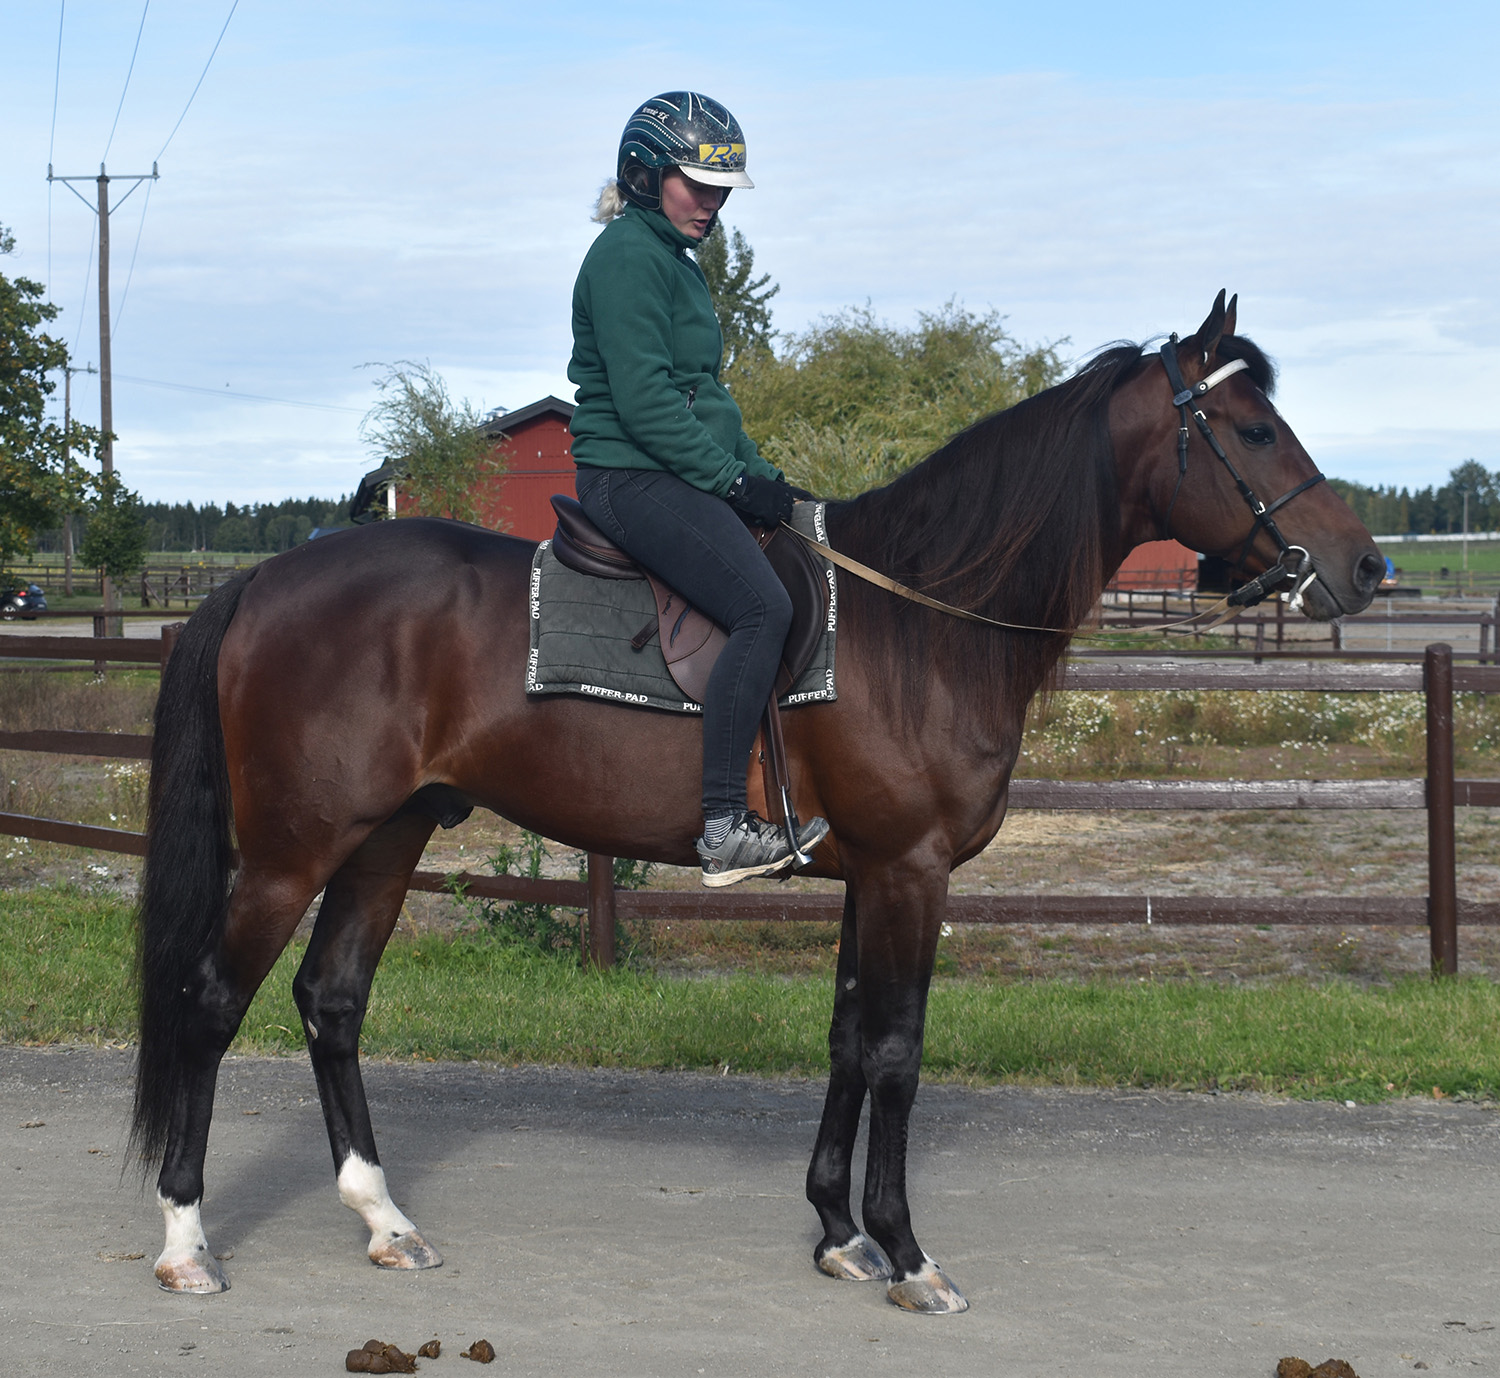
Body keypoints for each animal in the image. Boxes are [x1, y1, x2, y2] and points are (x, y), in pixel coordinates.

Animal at [132, 296, 1380, 1307]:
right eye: (1254, 430)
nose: (1365, 568)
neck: (918, 620)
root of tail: (262, 582)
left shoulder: (869, 871)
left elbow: (846, 1038)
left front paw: (837, 1230)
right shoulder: (912, 869)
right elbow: (896, 1049)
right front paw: (907, 1250)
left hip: (385, 836)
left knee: (332, 1000)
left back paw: (384, 1219)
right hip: (292, 850)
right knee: (209, 1000)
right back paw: (186, 1239)